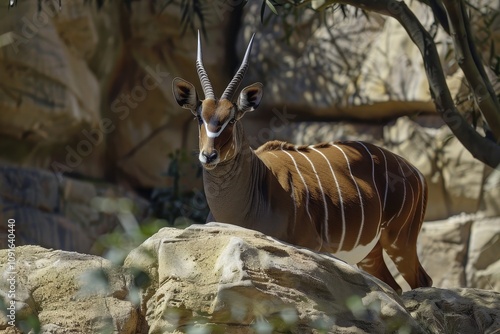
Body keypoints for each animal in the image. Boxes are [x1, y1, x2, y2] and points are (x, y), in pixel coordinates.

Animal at [172, 31, 430, 292]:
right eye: (199, 117)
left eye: (232, 119)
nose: (209, 155)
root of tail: (416, 172)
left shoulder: (310, 247)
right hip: (371, 253)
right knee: (396, 287)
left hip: (400, 241)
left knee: (422, 281)